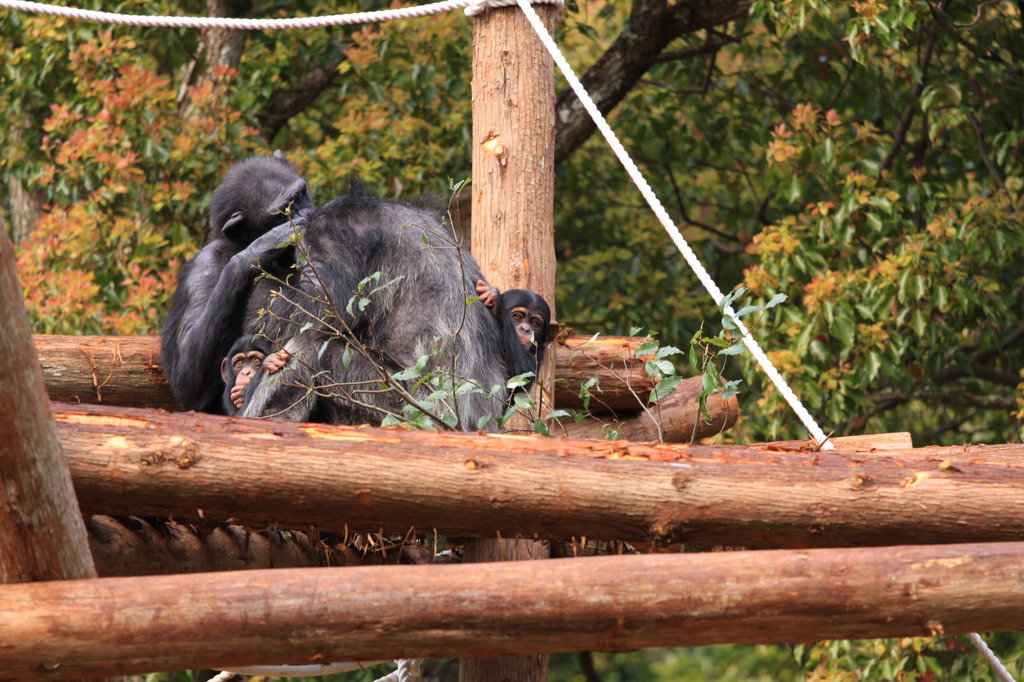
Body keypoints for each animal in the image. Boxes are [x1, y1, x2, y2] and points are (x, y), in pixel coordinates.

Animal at [159, 151, 309, 411]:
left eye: (301, 195)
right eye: (284, 211)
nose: (307, 212)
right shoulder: (204, 268)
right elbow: (187, 373)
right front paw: (260, 248)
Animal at [238, 186, 512, 428]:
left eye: (307, 259)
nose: (303, 268)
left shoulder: (333, 242)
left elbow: (311, 307)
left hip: (395, 406)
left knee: (310, 347)